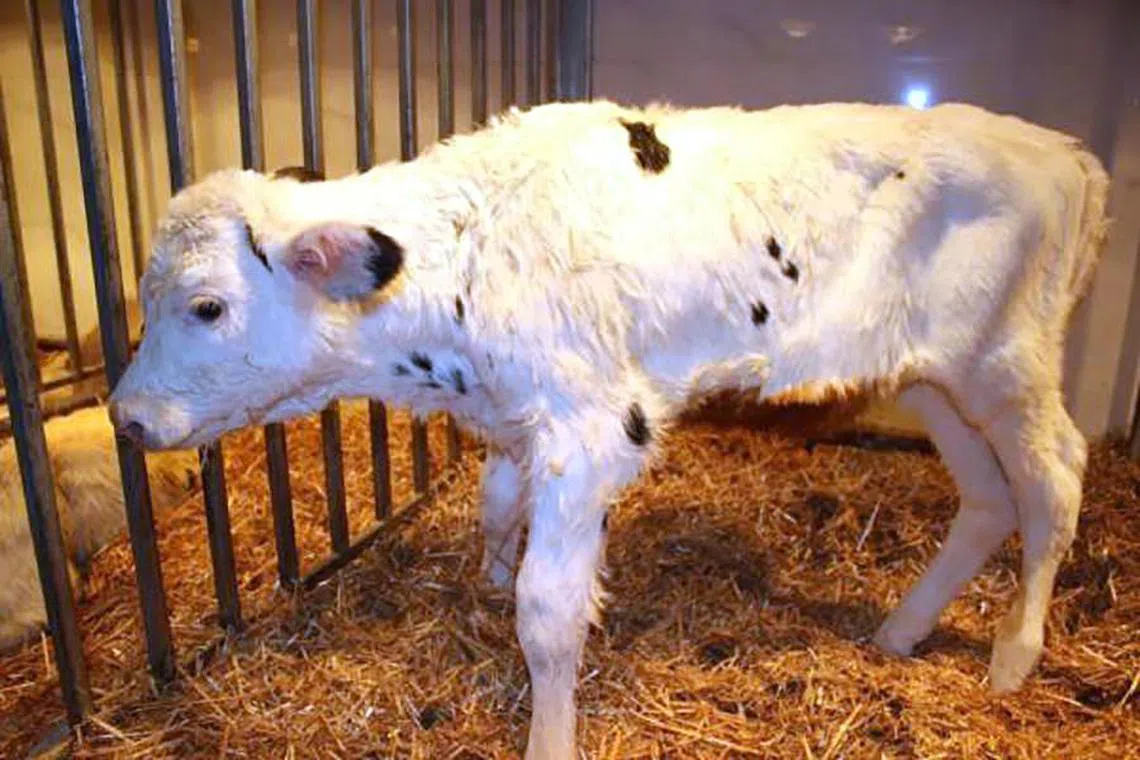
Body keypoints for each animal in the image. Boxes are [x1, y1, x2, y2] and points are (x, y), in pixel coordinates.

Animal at [106, 100, 1110, 759]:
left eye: (206, 305)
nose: (125, 416)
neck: (468, 247)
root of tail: (1064, 150)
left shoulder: (592, 429)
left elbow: (549, 610)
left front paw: (549, 737)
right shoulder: (515, 419)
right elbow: (493, 508)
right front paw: (484, 582)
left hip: (1008, 361)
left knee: (1055, 478)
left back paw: (1015, 656)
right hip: (934, 375)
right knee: (989, 498)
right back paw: (901, 632)